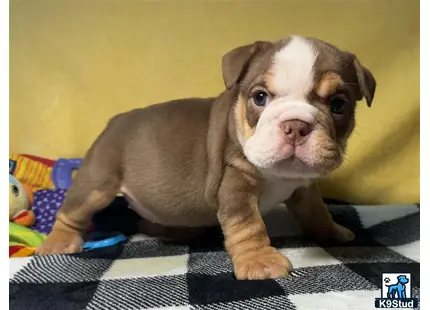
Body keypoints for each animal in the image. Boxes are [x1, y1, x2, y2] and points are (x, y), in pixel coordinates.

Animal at [37, 35, 376, 280]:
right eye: (260, 98)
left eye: (338, 105)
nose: (296, 125)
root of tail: (114, 121)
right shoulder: (235, 186)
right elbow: (248, 224)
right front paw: (259, 260)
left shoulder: (304, 187)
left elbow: (316, 211)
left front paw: (332, 231)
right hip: (97, 181)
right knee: (73, 211)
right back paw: (59, 241)